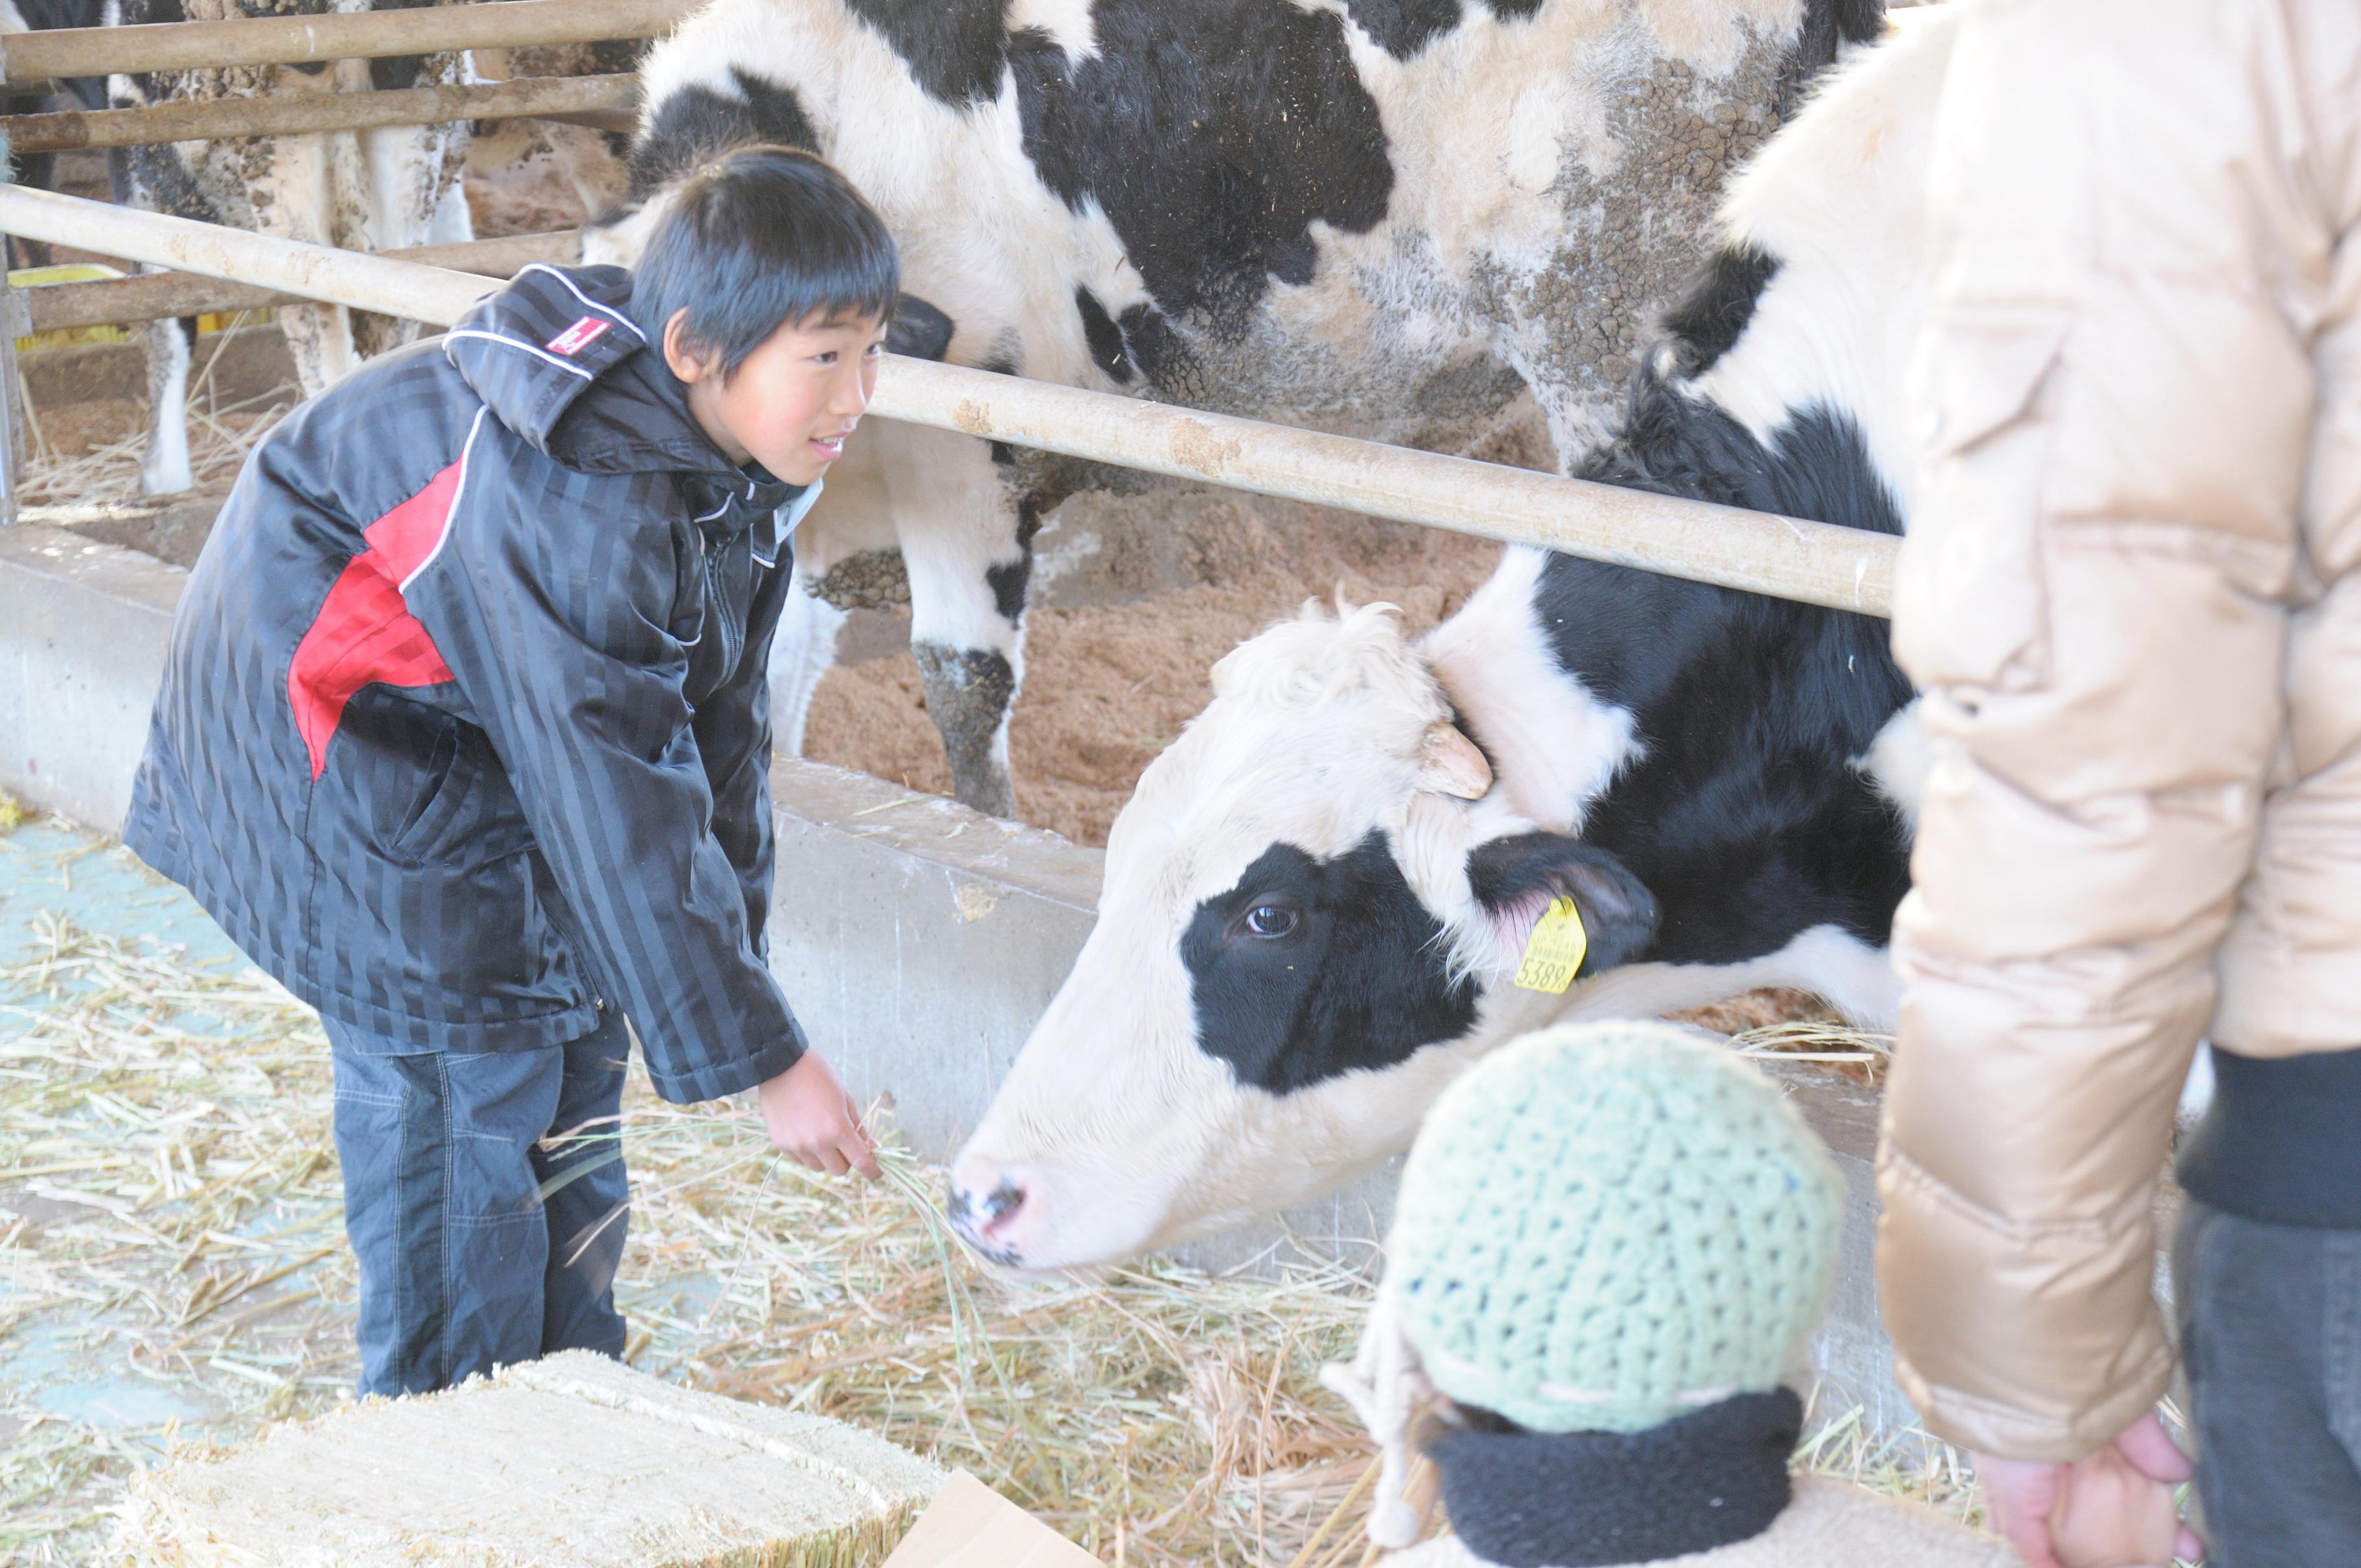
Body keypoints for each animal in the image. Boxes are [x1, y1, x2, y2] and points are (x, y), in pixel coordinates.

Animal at [5, 0, 479, 494]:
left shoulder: (144, 169)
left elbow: (164, 324)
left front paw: (162, 477)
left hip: (284, 177)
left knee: (321, 334)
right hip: (407, 154)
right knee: (391, 326)